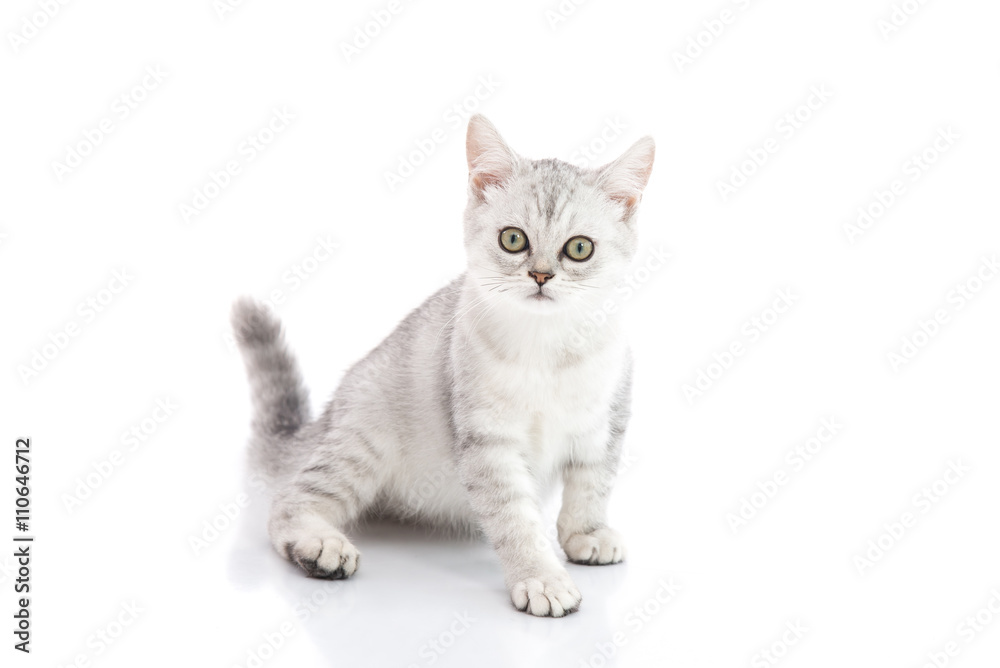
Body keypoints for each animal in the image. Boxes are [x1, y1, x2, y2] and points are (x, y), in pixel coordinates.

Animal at [233, 113, 656, 616]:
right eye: (513, 239)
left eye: (579, 249)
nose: (540, 275)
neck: (548, 347)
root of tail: (327, 420)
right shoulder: (488, 441)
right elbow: (516, 520)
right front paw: (541, 578)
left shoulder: (606, 422)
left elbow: (592, 487)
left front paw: (585, 535)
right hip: (363, 442)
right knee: (289, 502)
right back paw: (321, 548)